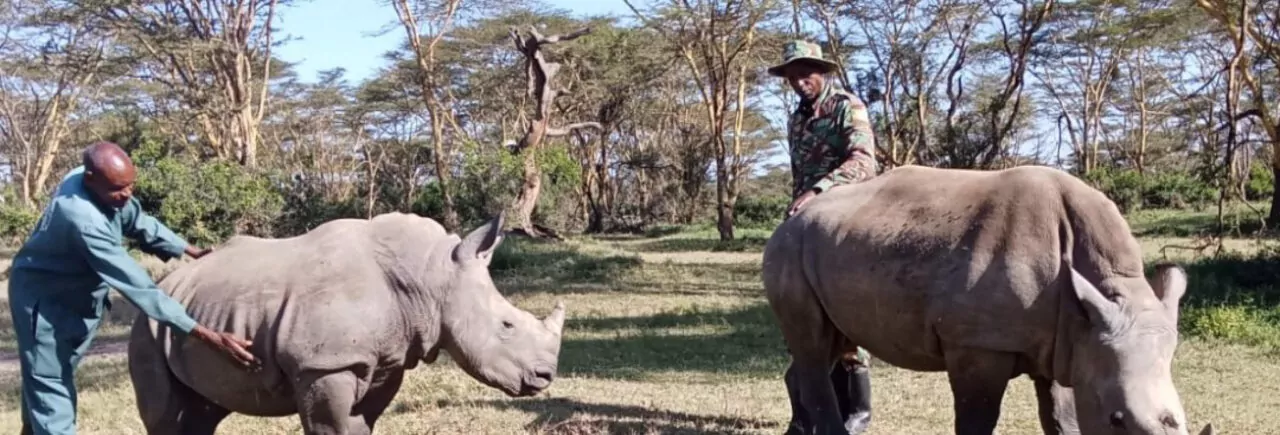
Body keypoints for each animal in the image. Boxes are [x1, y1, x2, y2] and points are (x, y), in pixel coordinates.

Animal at [126, 213, 565, 434]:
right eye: (507, 325)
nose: (546, 376)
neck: (429, 278)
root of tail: (169, 281)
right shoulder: (324, 364)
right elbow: (331, 426)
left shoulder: (384, 362)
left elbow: (360, 424)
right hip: (147, 323)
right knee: (166, 414)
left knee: (201, 412)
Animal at [763, 165, 1214, 435]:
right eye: (1117, 419)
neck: (1110, 284)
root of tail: (790, 218)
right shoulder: (978, 345)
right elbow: (977, 420)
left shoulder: (1072, 338)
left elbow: (1062, 417)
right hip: (789, 250)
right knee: (814, 346)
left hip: (828, 248)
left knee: (823, 346)